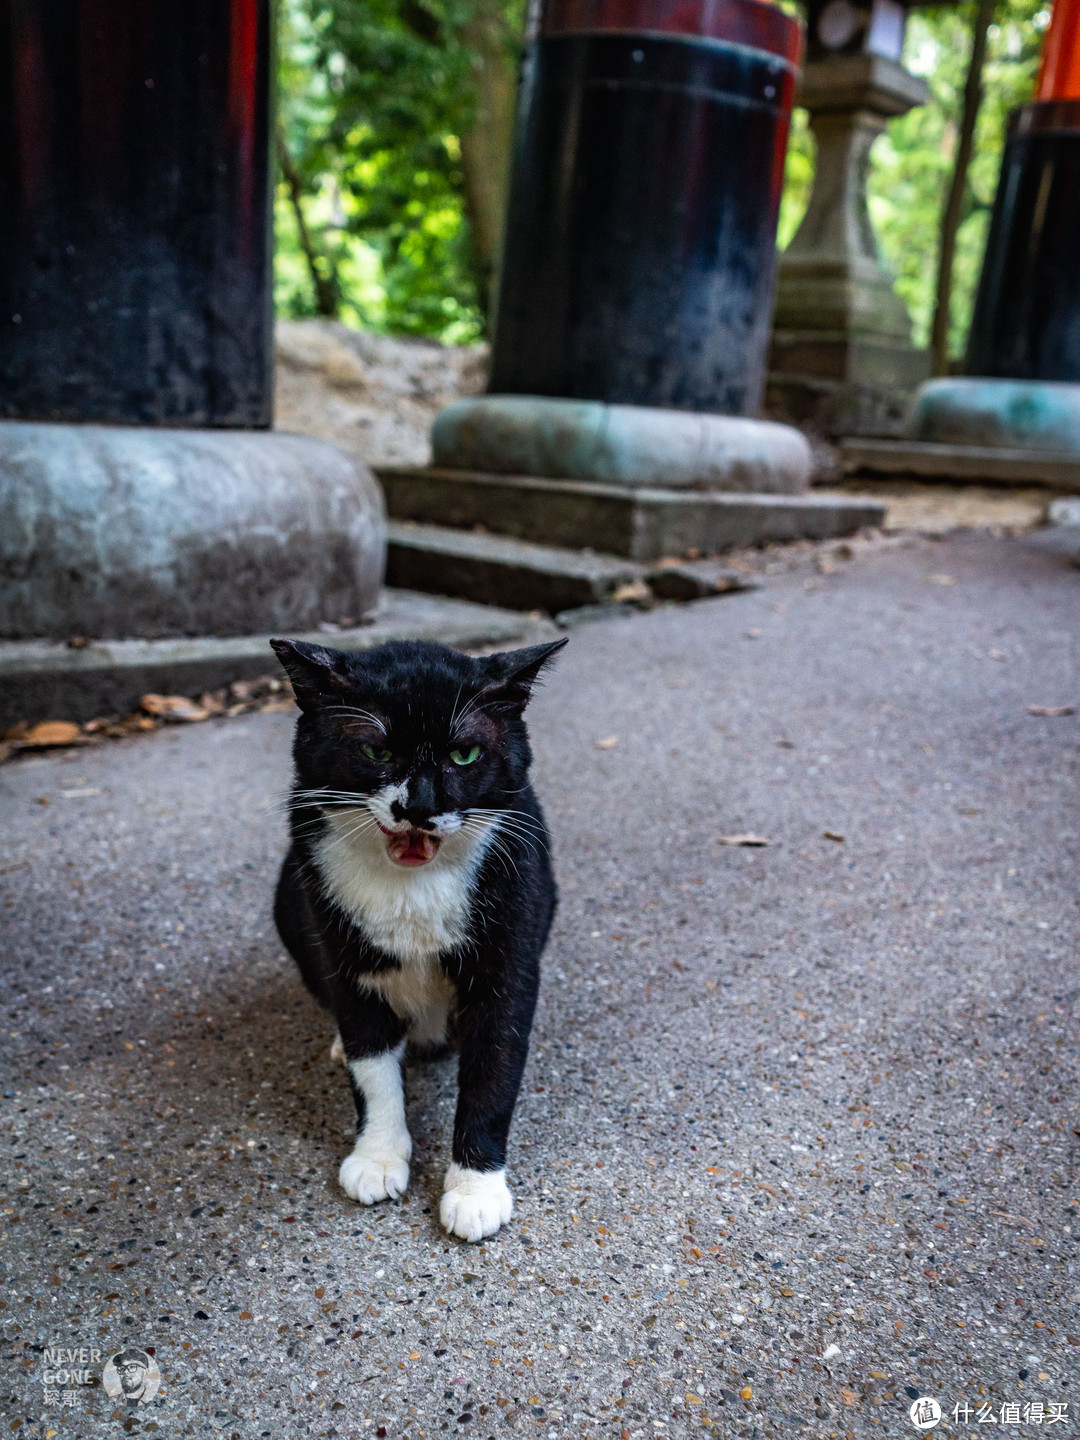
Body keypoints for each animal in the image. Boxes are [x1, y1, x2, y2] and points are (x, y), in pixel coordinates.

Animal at [270, 636, 567, 1244]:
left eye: (465, 755)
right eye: (376, 751)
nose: (420, 807)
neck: (412, 888)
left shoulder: (510, 961)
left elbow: (493, 1072)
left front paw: (475, 1191)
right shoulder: (345, 956)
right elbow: (372, 1063)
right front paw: (377, 1157)